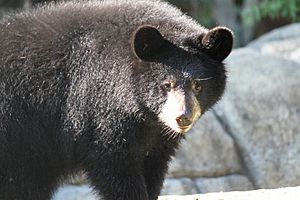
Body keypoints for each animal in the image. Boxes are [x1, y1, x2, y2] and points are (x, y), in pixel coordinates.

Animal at [0, 0, 232, 200]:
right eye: (167, 84)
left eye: (198, 85)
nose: (182, 117)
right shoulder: (95, 111)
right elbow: (115, 166)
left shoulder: (157, 138)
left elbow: (154, 166)